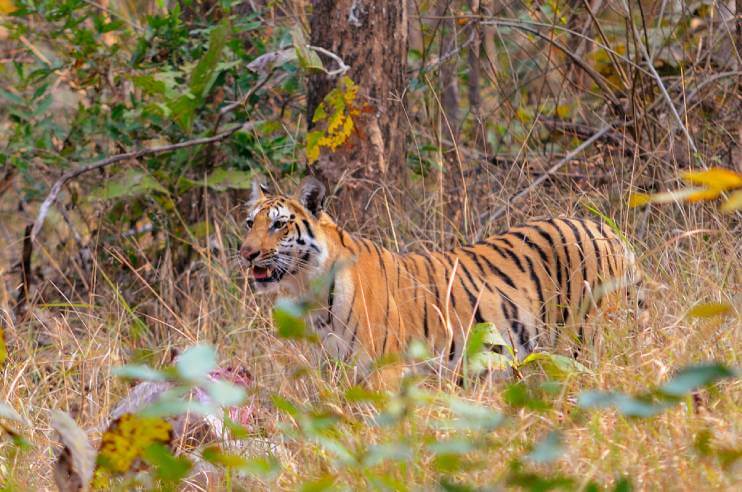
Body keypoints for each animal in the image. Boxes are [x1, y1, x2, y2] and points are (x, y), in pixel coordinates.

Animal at [238, 177, 644, 383]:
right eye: (250, 223)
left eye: (278, 224)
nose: (246, 254)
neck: (310, 293)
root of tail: (607, 231)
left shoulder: (386, 370)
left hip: (585, 341)